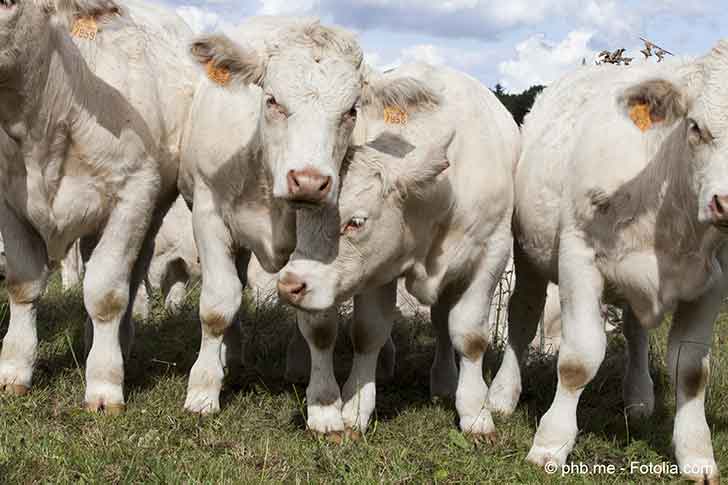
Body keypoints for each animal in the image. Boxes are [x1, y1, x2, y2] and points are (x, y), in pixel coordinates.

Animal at [0, 0, 196, 412]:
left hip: (150, 211)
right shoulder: (9, 203)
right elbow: (23, 285)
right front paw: (14, 371)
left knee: (131, 277)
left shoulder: (132, 195)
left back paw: (118, 345)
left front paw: (104, 385)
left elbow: (106, 294)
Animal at [178, 18, 438, 412]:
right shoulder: (208, 214)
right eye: (272, 100)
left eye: (351, 111)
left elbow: (319, 326)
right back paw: (231, 355)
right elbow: (218, 304)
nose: (309, 181)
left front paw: (324, 404)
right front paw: (204, 389)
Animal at [276, 62, 520, 436]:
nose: (289, 285)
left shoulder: (491, 254)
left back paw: (445, 382)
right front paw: (355, 409)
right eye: (301, 217)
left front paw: (476, 414)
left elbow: (468, 335)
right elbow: (368, 333)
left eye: (356, 222)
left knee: (442, 324)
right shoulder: (376, 268)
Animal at [486, 43, 728, 482]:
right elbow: (578, 359)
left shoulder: (714, 281)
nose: (725, 203)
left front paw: (697, 454)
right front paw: (550, 443)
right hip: (527, 252)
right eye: (696, 127)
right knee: (522, 319)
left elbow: (690, 370)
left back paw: (639, 399)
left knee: (635, 332)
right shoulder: (578, 257)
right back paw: (502, 395)